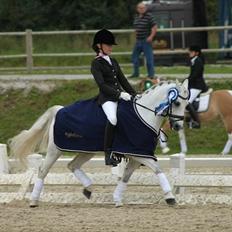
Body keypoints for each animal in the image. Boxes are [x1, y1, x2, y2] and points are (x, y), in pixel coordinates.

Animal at [8, 79, 188, 207]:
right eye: (177, 103)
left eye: (187, 104)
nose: (178, 126)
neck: (144, 114)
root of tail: (59, 109)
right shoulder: (139, 154)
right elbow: (158, 170)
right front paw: (170, 198)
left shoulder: (137, 155)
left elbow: (125, 177)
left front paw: (117, 199)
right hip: (55, 150)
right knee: (43, 170)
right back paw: (33, 201)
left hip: (87, 151)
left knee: (72, 165)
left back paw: (88, 189)